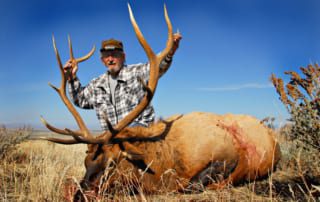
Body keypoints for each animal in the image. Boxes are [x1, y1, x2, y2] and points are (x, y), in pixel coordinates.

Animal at [39, 3, 280, 201]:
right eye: (86, 161)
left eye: (112, 162)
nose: (79, 195)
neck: (166, 161)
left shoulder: (225, 155)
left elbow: (191, 185)